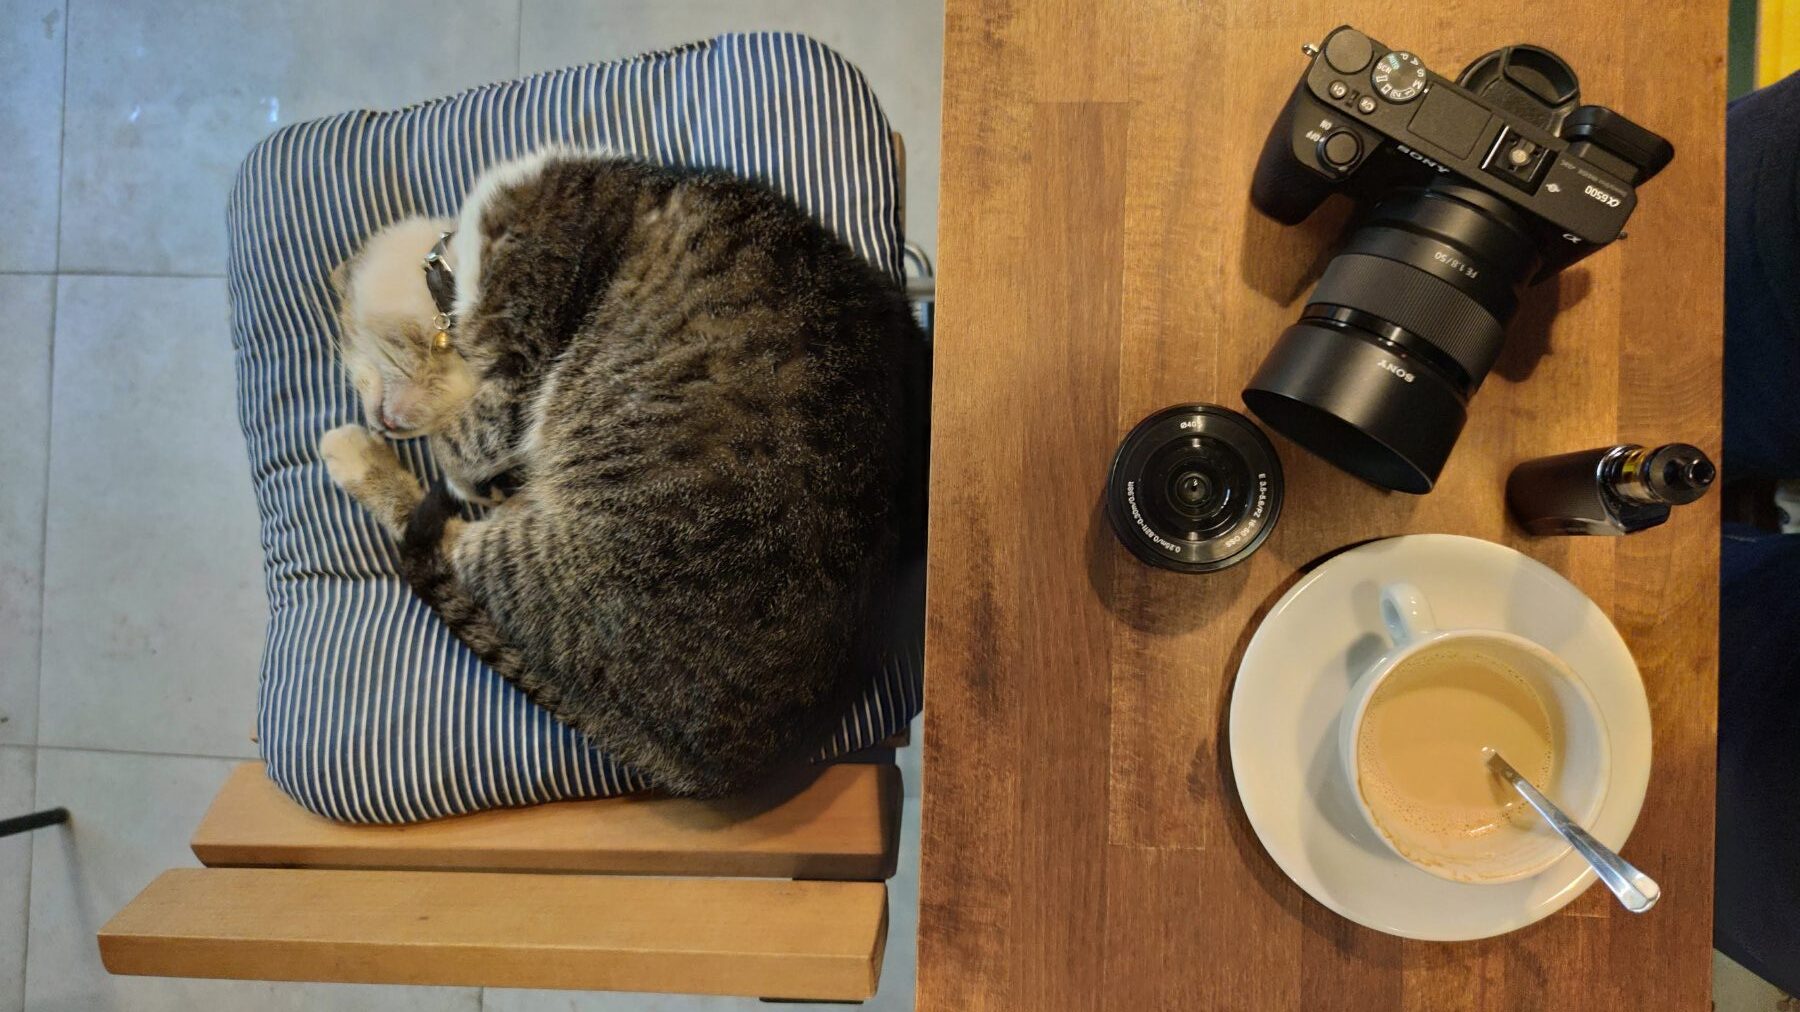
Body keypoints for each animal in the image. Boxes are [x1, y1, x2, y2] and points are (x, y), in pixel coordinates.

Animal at [318, 149, 928, 795]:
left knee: (443, 538)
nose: (382, 421)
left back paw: (355, 455)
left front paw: (451, 459)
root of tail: (729, 766)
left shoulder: (516, 370)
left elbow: (458, 445)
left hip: (567, 544)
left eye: (375, 358)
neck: (453, 260)